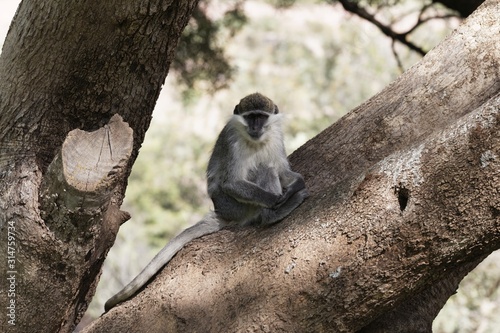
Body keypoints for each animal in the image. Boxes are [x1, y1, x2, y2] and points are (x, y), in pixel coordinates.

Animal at [104, 92, 308, 310]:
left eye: (260, 117)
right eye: (250, 117)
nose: (255, 128)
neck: (256, 141)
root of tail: (220, 211)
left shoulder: (276, 136)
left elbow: (283, 171)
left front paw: (297, 183)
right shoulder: (232, 140)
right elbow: (232, 183)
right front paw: (276, 199)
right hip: (234, 206)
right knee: (265, 168)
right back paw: (274, 213)